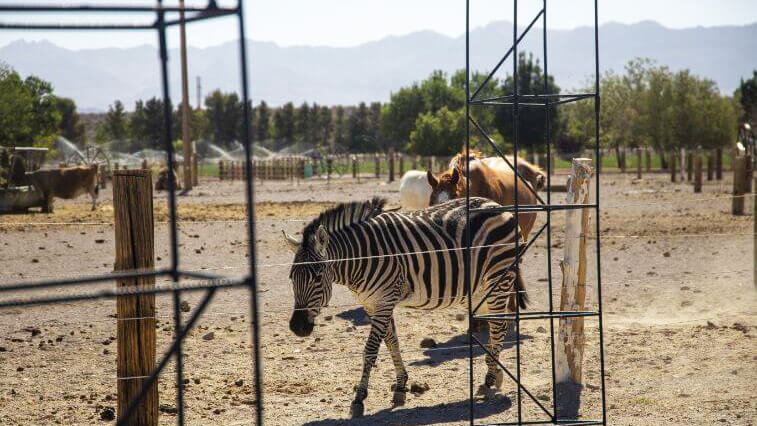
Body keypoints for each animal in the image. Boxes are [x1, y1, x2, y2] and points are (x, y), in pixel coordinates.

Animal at [282, 198, 524, 418]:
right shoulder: (373, 303)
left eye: (317, 277)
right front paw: (400, 387)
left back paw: (490, 379)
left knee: (499, 326)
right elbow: (392, 343)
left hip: (499, 278)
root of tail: (497, 204)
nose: (297, 328)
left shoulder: (384, 300)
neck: (362, 257)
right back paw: (496, 372)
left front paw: (359, 398)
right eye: (292, 278)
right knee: (495, 325)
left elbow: (371, 350)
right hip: (478, 289)